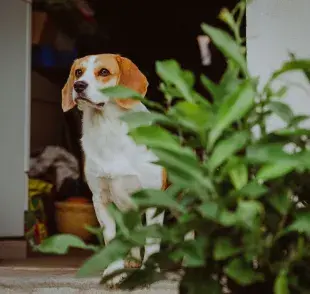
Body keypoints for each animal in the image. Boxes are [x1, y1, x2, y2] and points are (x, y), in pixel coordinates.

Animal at [61, 54, 166, 284]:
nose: (78, 85)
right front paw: (113, 270)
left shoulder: (154, 198)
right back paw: (132, 261)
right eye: (78, 72)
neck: (108, 129)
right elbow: (111, 238)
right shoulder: (101, 199)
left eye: (104, 72)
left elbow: (152, 241)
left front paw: (150, 271)